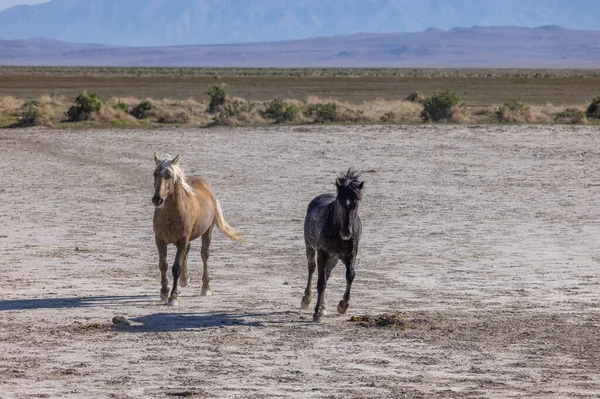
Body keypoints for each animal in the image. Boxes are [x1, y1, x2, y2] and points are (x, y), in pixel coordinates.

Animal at [152, 153, 244, 306]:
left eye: (169, 176)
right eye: (155, 174)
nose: (157, 199)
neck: (171, 214)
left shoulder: (183, 239)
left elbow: (176, 267)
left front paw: (173, 297)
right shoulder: (159, 239)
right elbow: (163, 265)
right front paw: (164, 292)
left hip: (207, 232)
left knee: (204, 255)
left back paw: (205, 288)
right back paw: (185, 280)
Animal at [302, 170, 364, 324]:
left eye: (356, 203)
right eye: (340, 202)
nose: (346, 233)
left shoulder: (351, 254)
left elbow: (350, 275)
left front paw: (343, 305)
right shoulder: (322, 253)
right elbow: (321, 282)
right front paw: (317, 313)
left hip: (334, 259)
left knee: (327, 274)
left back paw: (324, 307)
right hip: (310, 248)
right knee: (312, 269)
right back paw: (307, 300)